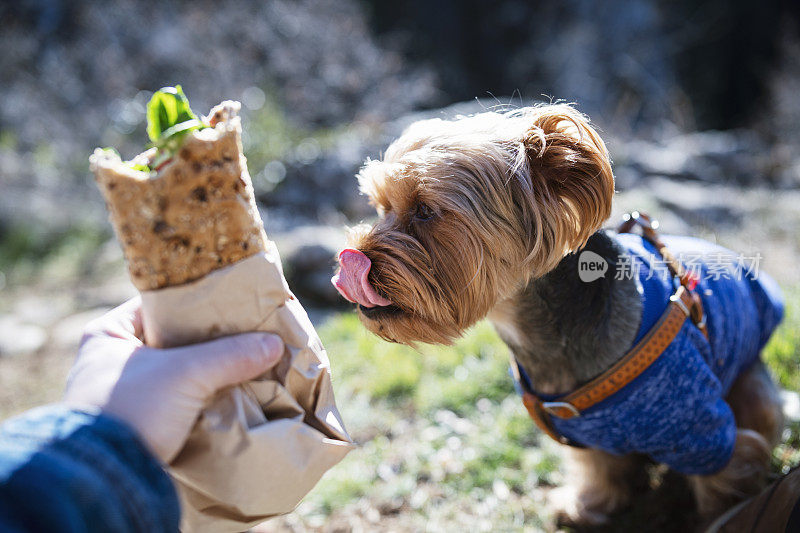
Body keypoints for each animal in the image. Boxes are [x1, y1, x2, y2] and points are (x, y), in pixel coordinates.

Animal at [332, 104, 788, 524]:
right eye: (380, 207)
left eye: (425, 210)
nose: (350, 259)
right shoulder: (588, 436)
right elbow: (598, 467)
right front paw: (588, 505)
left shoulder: (698, 423)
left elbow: (723, 477)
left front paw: (718, 516)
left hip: (751, 383)